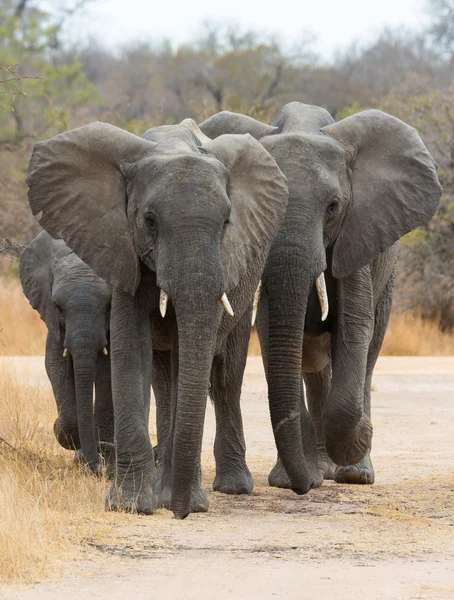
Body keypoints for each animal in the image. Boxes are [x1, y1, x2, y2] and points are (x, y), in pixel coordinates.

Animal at [20, 230, 113, 474]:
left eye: (109, 306)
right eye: (57, 305)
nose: (97, 467)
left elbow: (110, 372)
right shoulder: (53, 321)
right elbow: (55, 364)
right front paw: (62, 430)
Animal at [200, 103, 442, 492]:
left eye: (333, 206)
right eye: (270, 206)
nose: (304, 486)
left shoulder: (357, 234)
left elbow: (355, 326)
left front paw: (358, 441)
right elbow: (272, 332)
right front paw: (290, 481)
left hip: (388, 273)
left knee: (370, 351)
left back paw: (354, 473)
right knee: (313, 364)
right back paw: (321, 468)